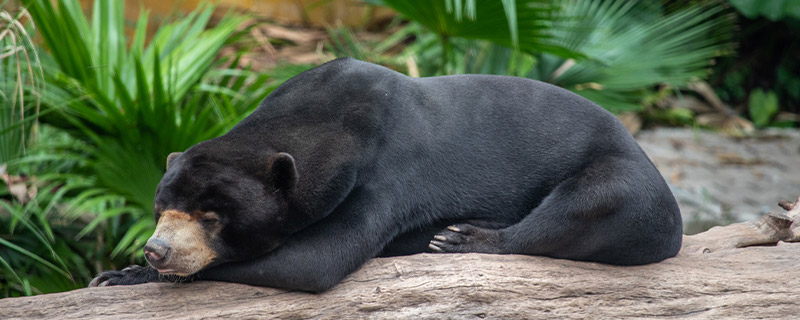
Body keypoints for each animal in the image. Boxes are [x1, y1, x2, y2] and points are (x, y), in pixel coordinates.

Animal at [90, 57, 684, 292]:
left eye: (211, 216)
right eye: (161, 208)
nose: (156, 250)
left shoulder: (384, 174)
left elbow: (313, 261)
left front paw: (126, 277)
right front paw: (117, 274)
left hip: (625, 182)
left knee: (582, 208)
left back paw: (457, 239)